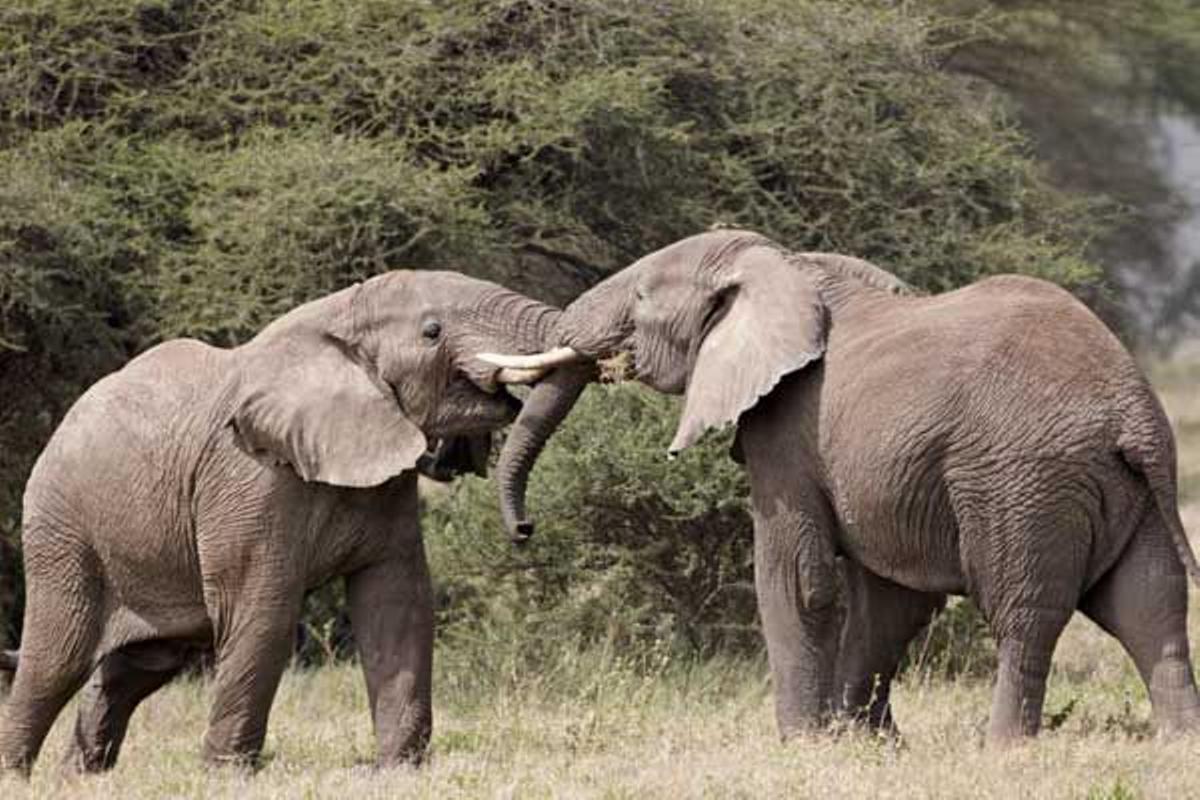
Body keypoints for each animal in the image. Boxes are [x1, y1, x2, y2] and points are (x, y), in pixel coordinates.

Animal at [0, 271, 559, 777]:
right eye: (432, 331)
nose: (524, 529)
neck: (341, 317)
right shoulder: (249, 477)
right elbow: (264, 611)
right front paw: (226, 776)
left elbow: (397, 603)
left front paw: (399, 771)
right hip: (62, 530)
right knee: (56, 659)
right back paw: (18, 775)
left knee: (138, 665)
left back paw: (79, 777)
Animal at [477, 227, 1200, 748]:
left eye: (641, 300)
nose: (524, 530)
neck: (781, 265)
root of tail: (1132, 415)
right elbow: (891, 603)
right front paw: (870, 743)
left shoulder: (788, 425)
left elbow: (798, 579)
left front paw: (800, 743)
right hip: (1127, 490)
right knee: (1152, 607)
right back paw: (1177, 745)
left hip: (1021, 480)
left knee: (1024, 612)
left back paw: (1004, 748)